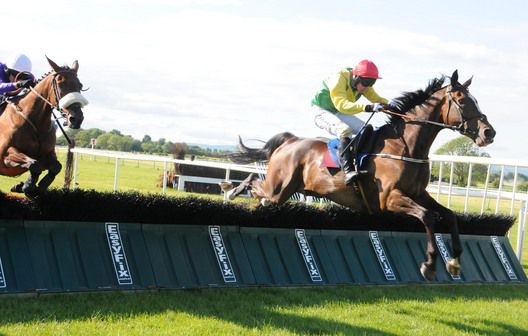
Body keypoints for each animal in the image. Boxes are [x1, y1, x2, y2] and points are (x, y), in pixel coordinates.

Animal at [0, 56, 88, 196]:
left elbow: (56, 167)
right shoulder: (5, 155)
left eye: (80, 85)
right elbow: (34, 165)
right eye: (60, 83)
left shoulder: (49, 153)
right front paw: (27, 186)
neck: (36, 123)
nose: (76, 118)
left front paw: (30, 186)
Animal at [227, 71, 496, 280]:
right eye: (462, 101)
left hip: (284, 192)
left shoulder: (419, 194)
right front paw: (429, 265)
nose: (489, 132)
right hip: (279, 187)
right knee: (253, 182)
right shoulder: (389, 198)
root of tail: (291, 141)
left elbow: (449, 216)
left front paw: (455, 262)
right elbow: (428, 217)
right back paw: (230, 189)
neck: (405, 146)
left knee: (261, 194)